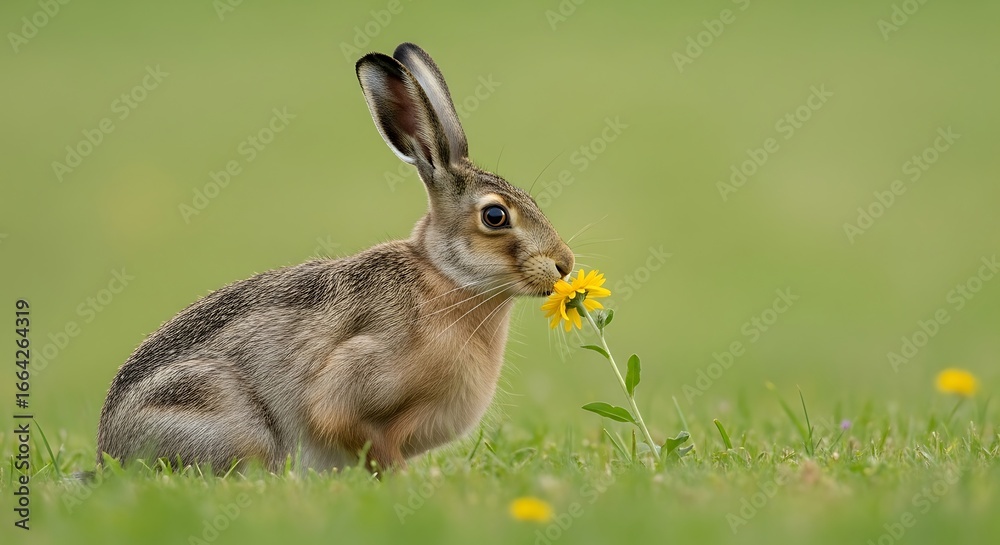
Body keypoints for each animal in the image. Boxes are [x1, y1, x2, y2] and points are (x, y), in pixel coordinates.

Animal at [96, 42, 575, 473]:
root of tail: (109, 452)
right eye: (495, 216)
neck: (447, 278)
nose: (564, 264)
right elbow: (361, 437)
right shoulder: (353, 393)